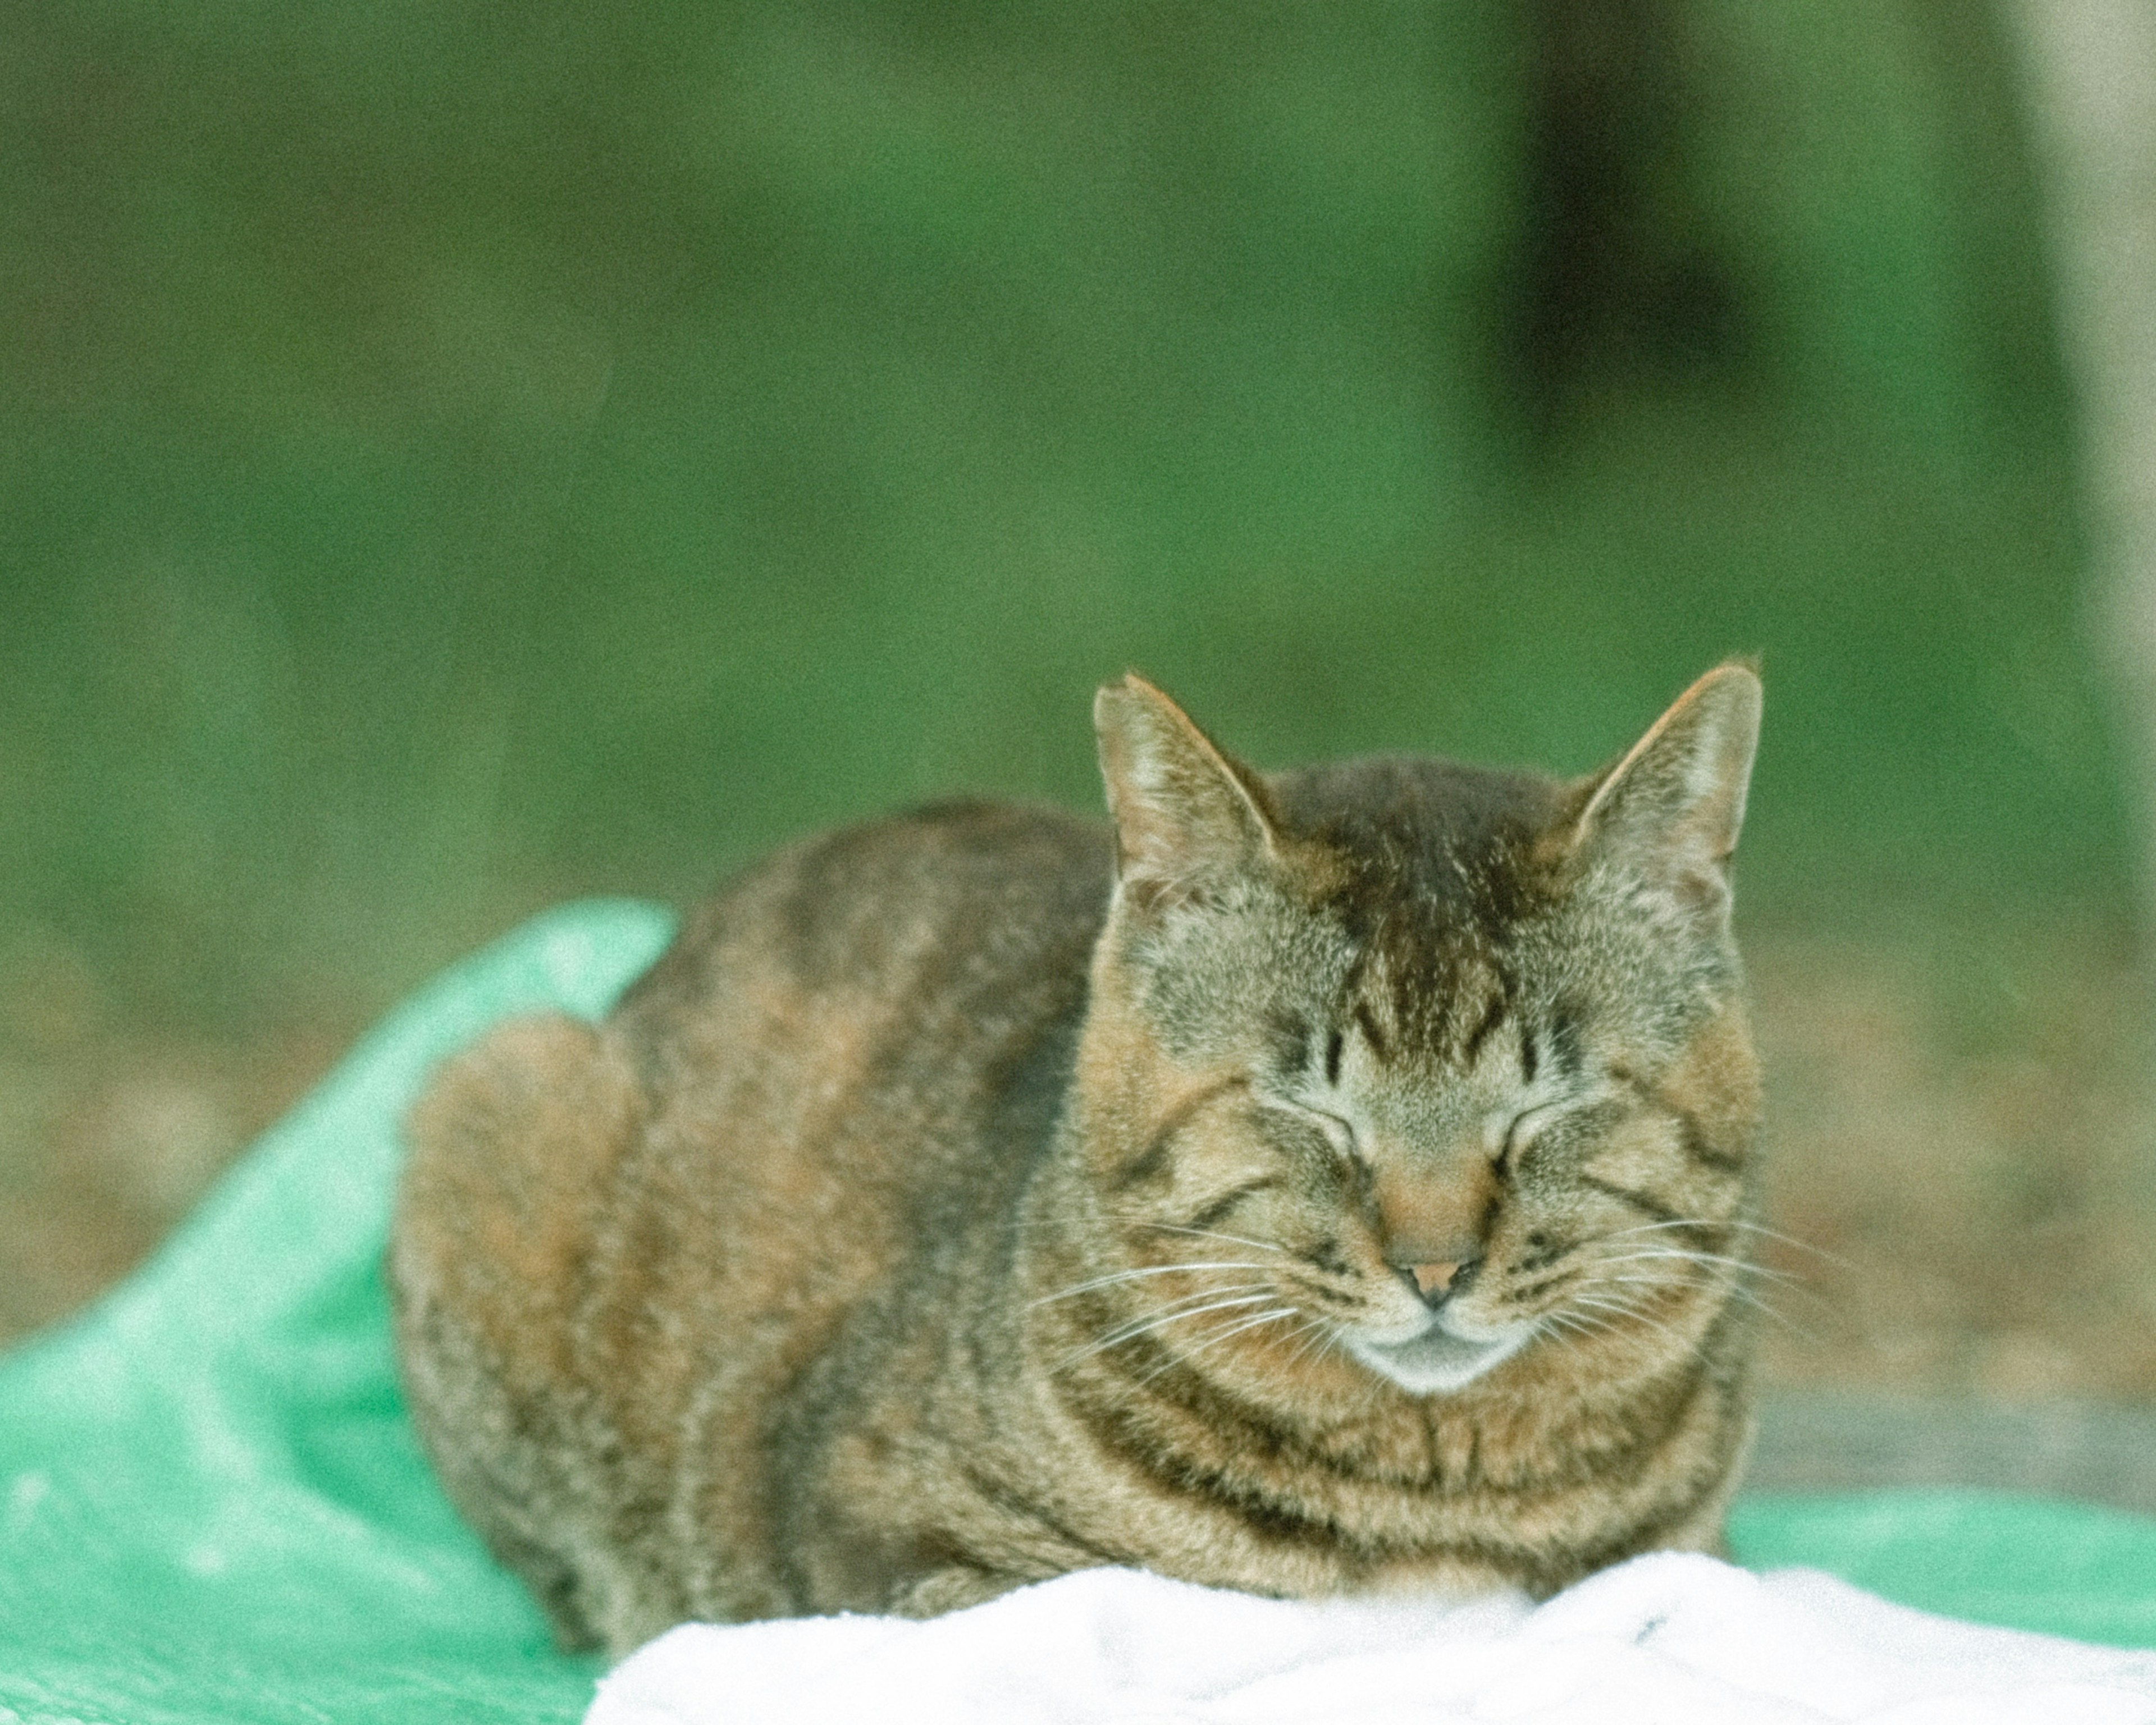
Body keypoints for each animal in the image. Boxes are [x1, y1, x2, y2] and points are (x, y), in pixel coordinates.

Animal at [392, 664, 1767, 1656]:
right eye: (1311, 1104)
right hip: (492, 1090)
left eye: (1549, 1104)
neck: (1443, 1500)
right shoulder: (888, 1553)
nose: (1436, 1266)